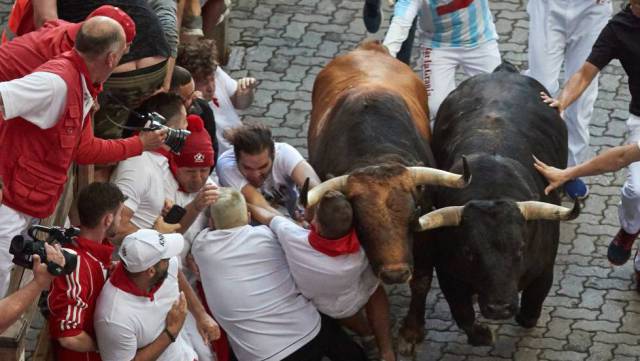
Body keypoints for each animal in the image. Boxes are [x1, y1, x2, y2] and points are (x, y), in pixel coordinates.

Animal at [304, 41, 470, 284]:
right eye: (361, 224)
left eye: (412, 216)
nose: (395, 274)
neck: (377, 154)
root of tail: (370, 47)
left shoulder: (424, 251)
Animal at [398, 64, 576, 352]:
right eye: (470, 252)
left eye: (520, 250)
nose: (499, 308)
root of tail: (502, 72)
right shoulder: (448, 274)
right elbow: (463, 314)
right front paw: (483, 334)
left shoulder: (544, 271)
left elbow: (530, 311)